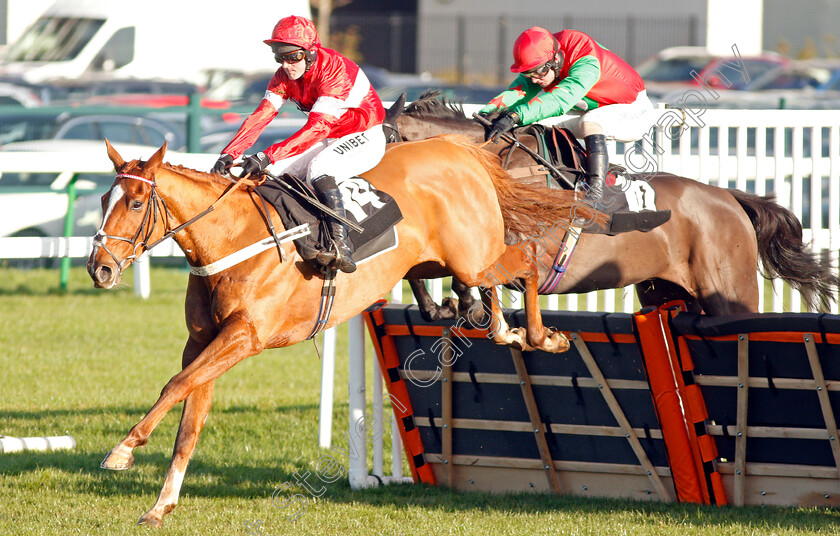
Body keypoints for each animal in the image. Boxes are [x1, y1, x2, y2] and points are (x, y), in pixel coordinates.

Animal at [85, 135, 592, 528]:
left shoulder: (245, 336)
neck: (230, 238)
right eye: (104, 202)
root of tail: (456, 149)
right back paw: (505, 330)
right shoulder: (204, 342)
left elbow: (174, 386)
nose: (100, 268)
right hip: (449, 262)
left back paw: (542, 336)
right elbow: (189, 419)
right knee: (489, 292)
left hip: (474, 257)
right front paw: (161, 505)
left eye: (135, 202)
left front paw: (123, 450)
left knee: (528, 261)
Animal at [384, 91, 836, 318]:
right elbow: (419, 269)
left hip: (728, 293)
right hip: (664, 290)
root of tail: (731, 198)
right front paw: (439, 308)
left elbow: (469, 273)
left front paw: (465, 306)